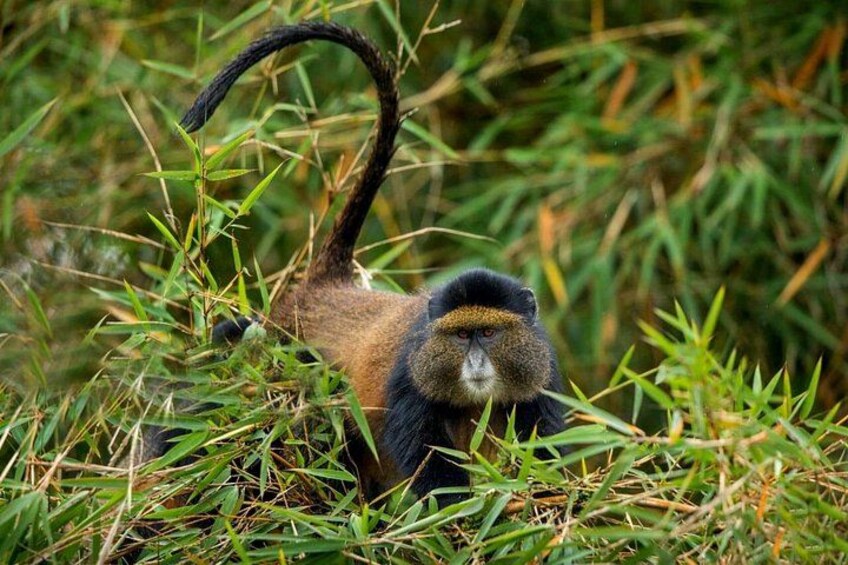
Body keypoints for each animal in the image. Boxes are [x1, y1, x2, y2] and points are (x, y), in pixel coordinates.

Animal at [175, 21, 567, 505]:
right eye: (461, 336)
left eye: (489, 333)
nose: (476, 362)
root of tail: (326, 287)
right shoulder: (408, 377)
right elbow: (425, 454)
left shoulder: (541, 372)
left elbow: (543, 445)